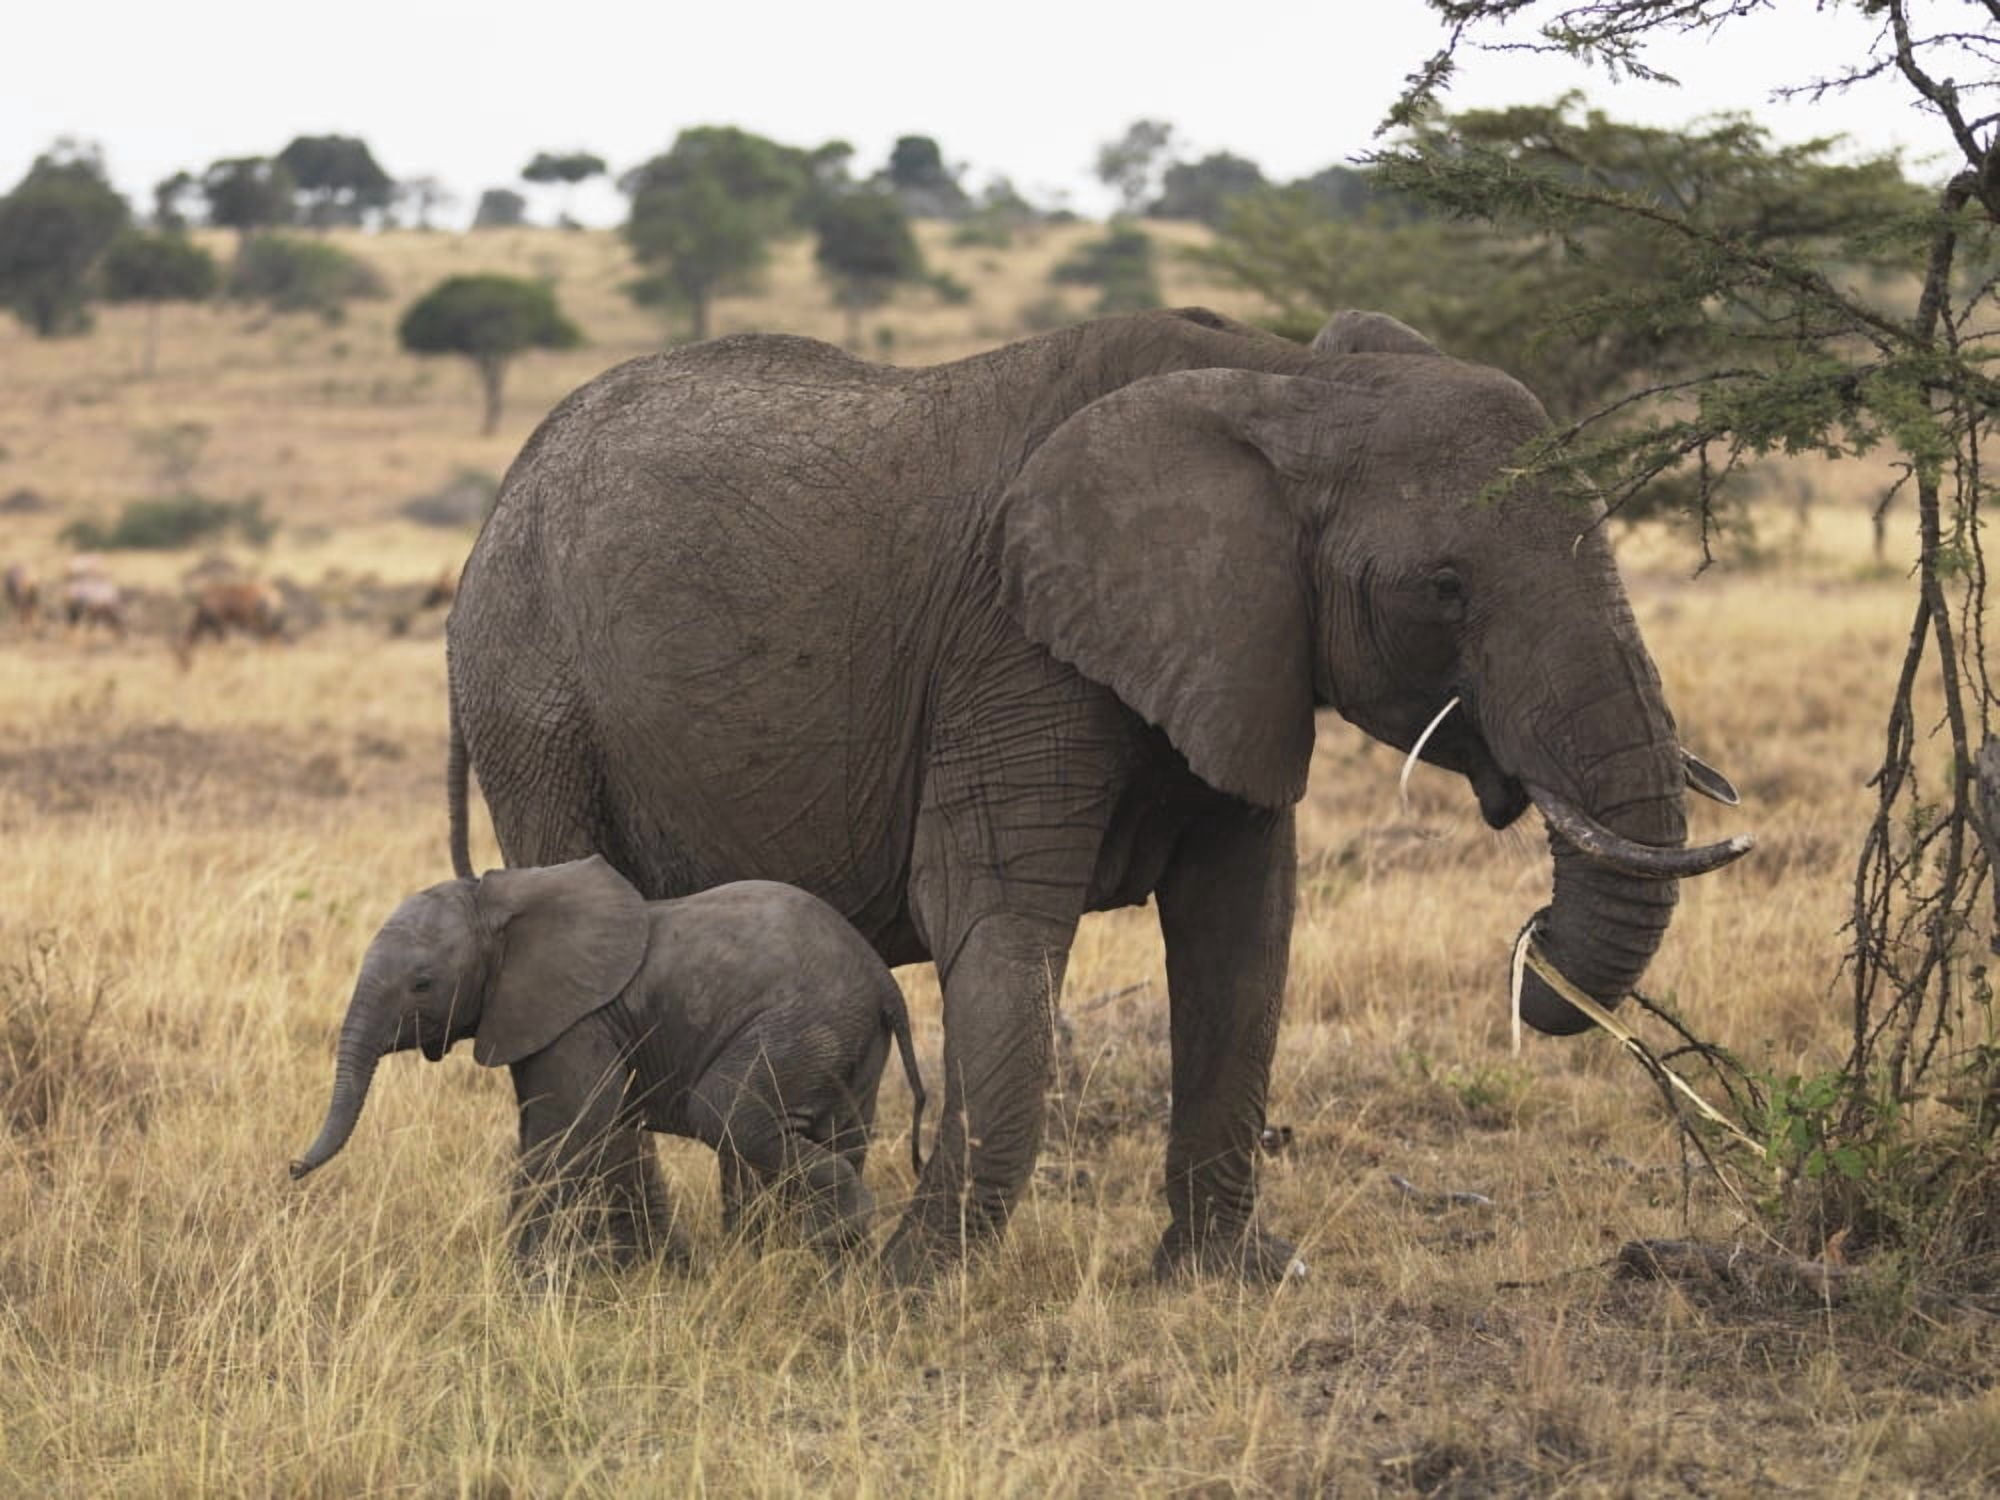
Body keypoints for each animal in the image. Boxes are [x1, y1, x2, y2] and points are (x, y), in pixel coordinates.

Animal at [291, 856, 928, 1266]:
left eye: (422, 984)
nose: (293, 1169)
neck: (497, 903)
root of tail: (881, 979)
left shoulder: (577, 1020)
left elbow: (569, 1132)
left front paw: (521, 1285)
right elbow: (551, 1128)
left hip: (804, 1018)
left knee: (725, 1111)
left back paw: (842, 1226)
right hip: (849, 1036)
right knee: (841, 1130)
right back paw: (830, 1261)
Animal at [442, 305, 1751, 1283]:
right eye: (1443, 587)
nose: (1530, 966)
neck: (1291, 383)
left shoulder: (1239, 652)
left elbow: (1243, 934)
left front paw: (1225, 1281)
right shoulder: (1013, 648)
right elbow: (995, 917)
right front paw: (908, 1286)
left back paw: (737, 1256)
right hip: (533, 699)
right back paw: (626, 1272)